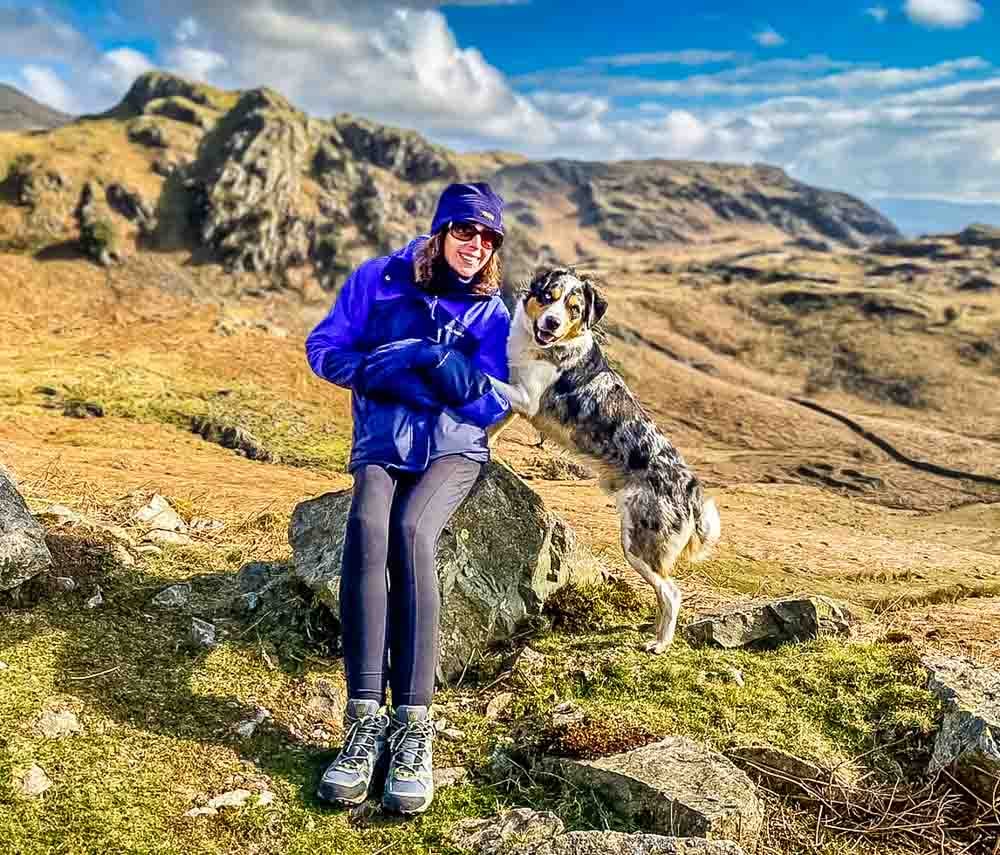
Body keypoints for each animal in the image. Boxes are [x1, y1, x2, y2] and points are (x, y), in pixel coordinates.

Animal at [486, 264, 716, 652]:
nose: (551, 323)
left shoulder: (526, 396)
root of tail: (691, 490)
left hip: (639, 543)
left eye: (574, 309)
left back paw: (660, 643)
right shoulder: (515, 398)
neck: (545, 345)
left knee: (671, 593)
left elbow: (480, 376)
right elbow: (493, 425)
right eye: (548, 297)